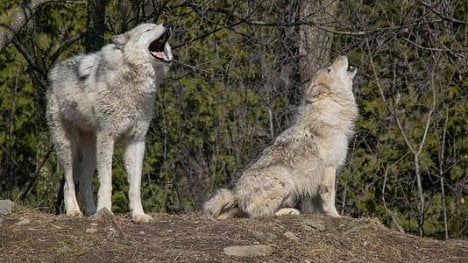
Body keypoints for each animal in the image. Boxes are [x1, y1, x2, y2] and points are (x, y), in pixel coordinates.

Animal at [46, 22, 172, 223]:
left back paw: (90, 211)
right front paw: (105, 211)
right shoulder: (107, 137)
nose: (167, 25)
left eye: (157, 25)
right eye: (148, 29)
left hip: (91, 149)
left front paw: (138, 214)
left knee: (84, 179)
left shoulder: (136, 140)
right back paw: (74, 211)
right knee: (69, 182)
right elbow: (106, 181)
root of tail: (55, 70)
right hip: (68, 146)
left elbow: (135, 185)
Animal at [202, 55, 358, 219]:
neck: (330, 113)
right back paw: (290, 211)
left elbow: (318, 202)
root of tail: (236, 194)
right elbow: (329, 198)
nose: (342, 55)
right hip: (285, 178)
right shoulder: (329, 168)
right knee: (261, 214)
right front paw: (336, 216)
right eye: (329, 69)